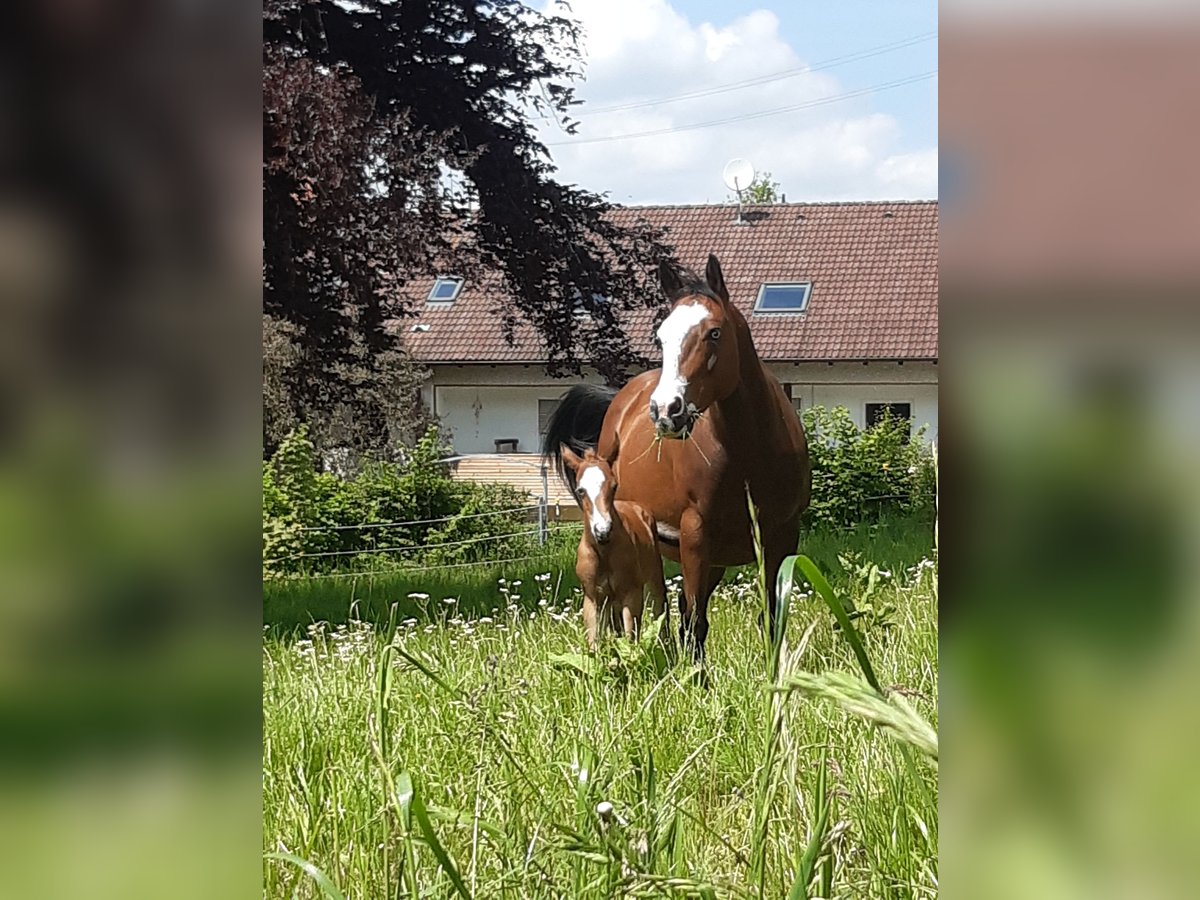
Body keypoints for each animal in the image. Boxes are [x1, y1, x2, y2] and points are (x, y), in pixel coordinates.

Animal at [559, 448, 672, 652]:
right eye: (581, 490)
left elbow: (631, 639)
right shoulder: (592, 598)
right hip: (610, 601)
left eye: (614, 486)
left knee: (659, 609)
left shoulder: (631, 593)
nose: (602, 531)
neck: (604, 553)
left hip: (653, 579)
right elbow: (594, 643)